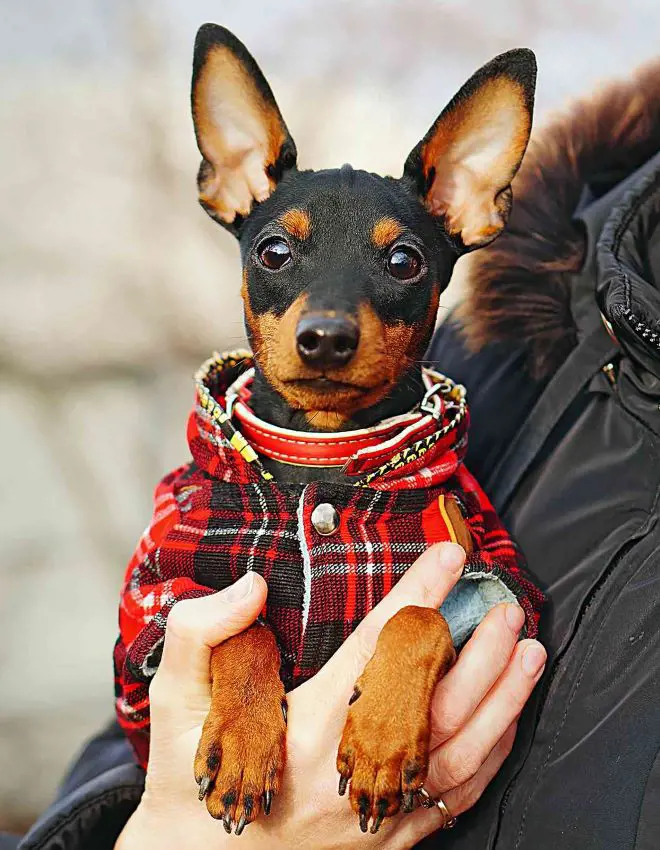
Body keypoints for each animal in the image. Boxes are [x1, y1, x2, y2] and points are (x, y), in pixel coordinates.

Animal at [114, 24, 548, 836]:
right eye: (273, 252)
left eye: (405, 261)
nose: (324, 338)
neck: (320, 459)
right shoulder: (156, 612)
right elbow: (244, 620)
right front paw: (243, 742)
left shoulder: (499, 592)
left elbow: (418, 615)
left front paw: (380, 738)